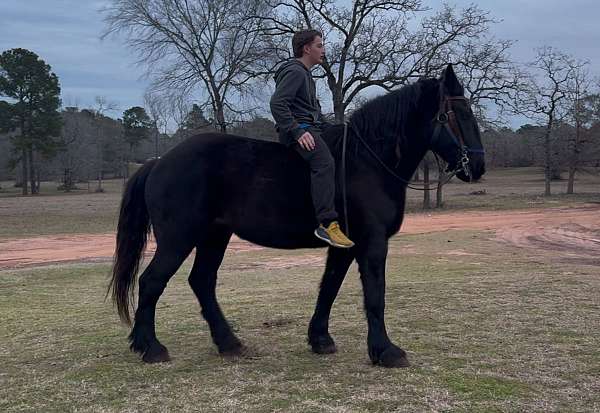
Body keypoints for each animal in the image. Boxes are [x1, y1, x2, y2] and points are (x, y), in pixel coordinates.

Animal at [110, 64, 488, 366]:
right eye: (460, 115)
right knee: (152, 281)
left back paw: (228, 343)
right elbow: (375, 295)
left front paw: (320, 339)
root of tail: (159, 161)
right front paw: (386, 351)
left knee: (201, 281)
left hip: (214, 236)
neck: (367, 161)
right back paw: (151, 347)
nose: (478, 166)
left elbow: (329, 288)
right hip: (179, 238)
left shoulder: (345, 246)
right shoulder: (373, 243)